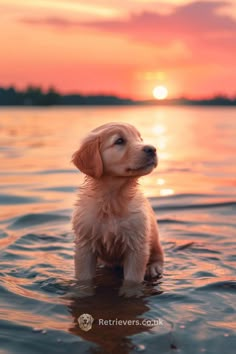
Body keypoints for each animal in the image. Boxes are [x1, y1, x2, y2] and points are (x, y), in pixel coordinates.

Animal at [72, 121, 164, 296]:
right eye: (119, 141)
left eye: (140, 138)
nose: (153, 149)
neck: (113, 199)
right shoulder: (85, 245)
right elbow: (84, 279)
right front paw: (83, 292)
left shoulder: (137, 245)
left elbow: (132, 280)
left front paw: (130, 294)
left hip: (153, 237)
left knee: (159, 254)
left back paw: (153, 267)